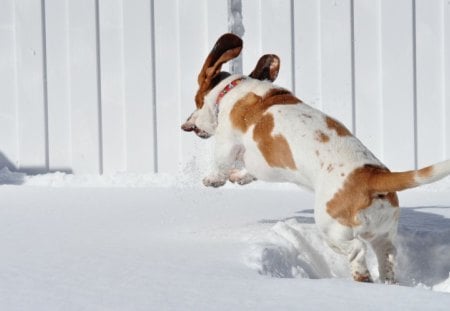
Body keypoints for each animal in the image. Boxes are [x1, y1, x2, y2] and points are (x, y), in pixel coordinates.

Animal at [181, 33, 450, 284]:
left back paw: (361, 277)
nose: (186, 124)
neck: (234, 91)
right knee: (388, 257)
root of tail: (373, 176)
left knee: (356, 251)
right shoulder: (260, 163)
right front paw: (238, 176)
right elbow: (248, 170)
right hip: (383, 234)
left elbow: (220, 162)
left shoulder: (227, 141)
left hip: (330, 226)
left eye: (196, 100)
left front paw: (212, 180)